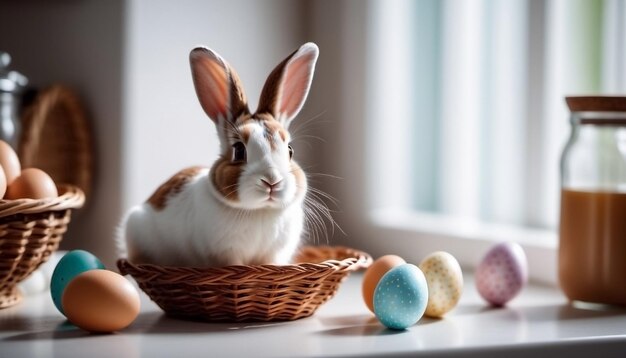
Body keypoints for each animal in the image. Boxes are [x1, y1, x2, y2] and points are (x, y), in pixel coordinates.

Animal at [119, 42, 320, 268]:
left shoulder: (273, 256)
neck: (259, 210)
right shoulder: (228, 254)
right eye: (239, 150)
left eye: (290, 150)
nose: (272, 182)